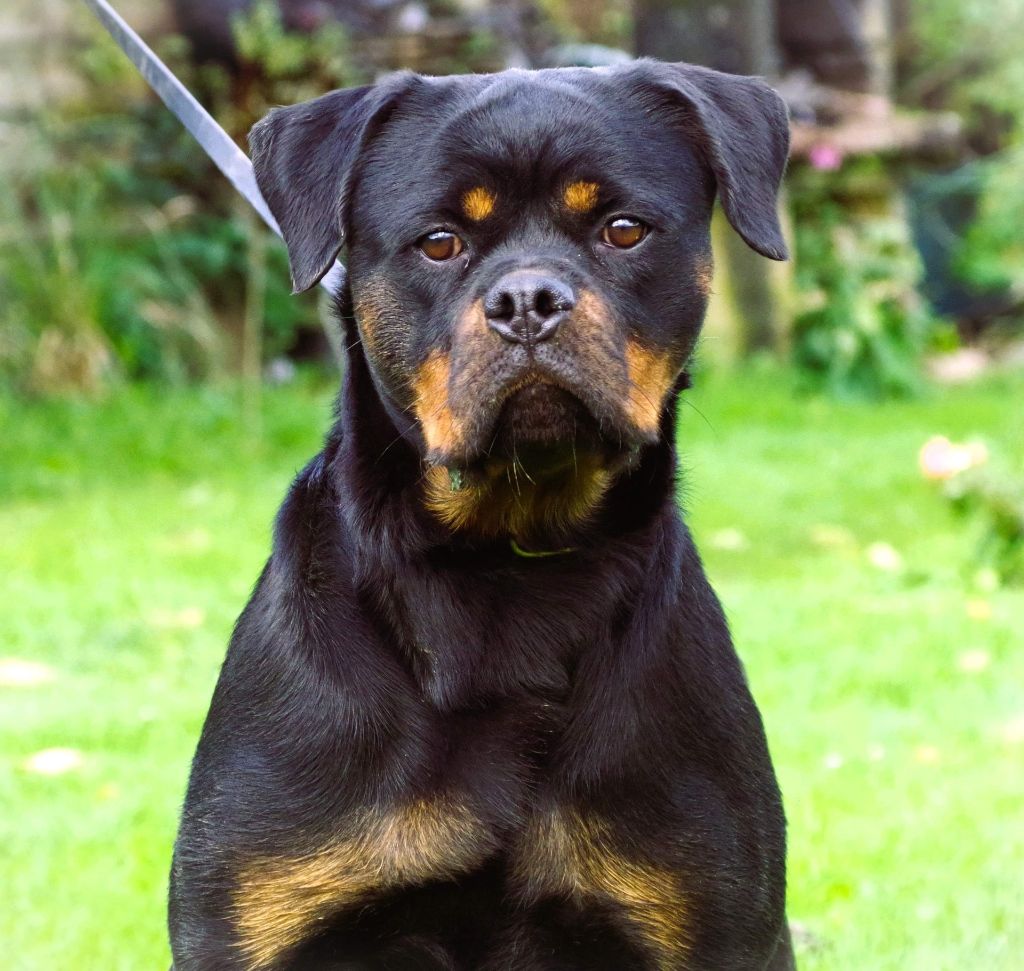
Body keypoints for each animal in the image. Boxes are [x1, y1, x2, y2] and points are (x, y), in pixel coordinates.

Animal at [165, 60, 790, 971]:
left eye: (624, 230)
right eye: (439, 242)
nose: (528, 297)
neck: (500, 561)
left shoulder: (716, 921)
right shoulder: (252, 924)